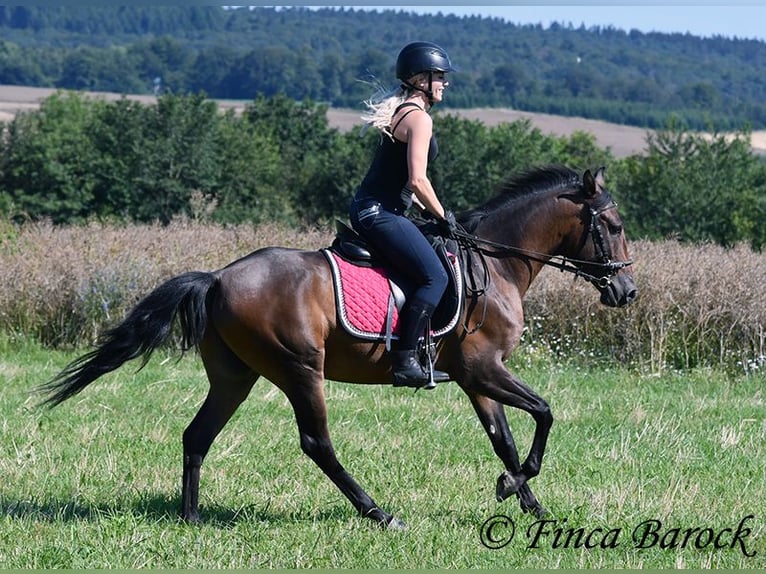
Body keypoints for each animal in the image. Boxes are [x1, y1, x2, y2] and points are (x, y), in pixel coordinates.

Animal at [36, 164, 640, 528]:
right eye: (612, 225)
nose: (627, 291)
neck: (498, 262)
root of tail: (217, 277)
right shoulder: (482, 371)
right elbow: (544, 413)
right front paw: (514, 488)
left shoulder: (479, 379)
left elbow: (506, 440)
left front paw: (529, 504)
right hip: (301, 368)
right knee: (317, 443)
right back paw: (378, 513)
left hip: (235, 376)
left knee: (197, 435)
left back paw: (190, 518)